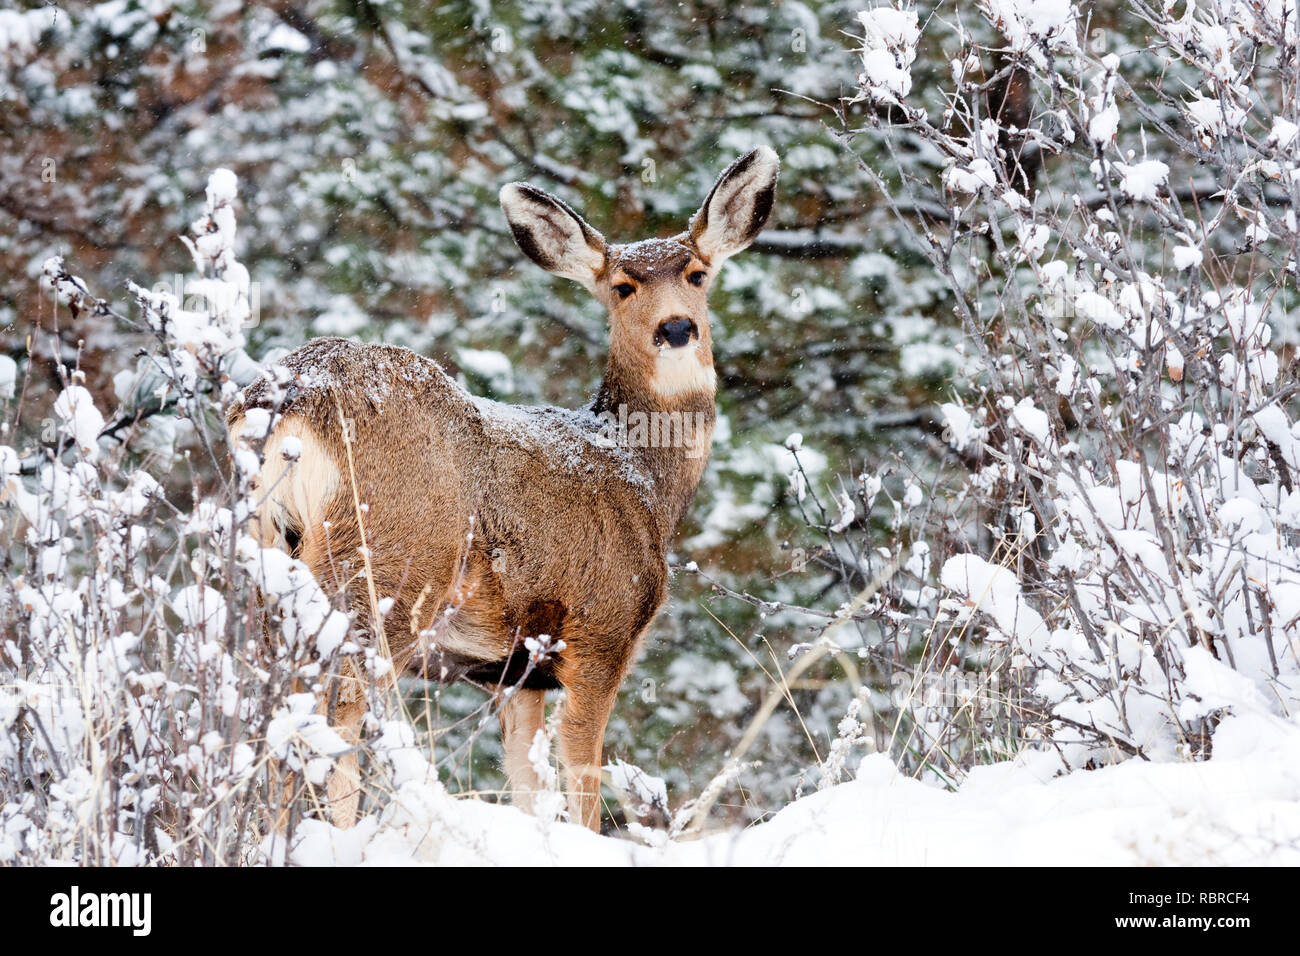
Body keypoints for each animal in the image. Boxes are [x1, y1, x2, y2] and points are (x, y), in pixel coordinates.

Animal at [228, 147, 779, 831]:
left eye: (698, 274)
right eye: (622, 286)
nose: (677, 329)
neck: (642, 476)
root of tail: (296, 398)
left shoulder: (515, 673)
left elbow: (527, 785)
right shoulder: (598, 631)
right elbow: (582, 782)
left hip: (269, 559)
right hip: (388, 566)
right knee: (342, 710)